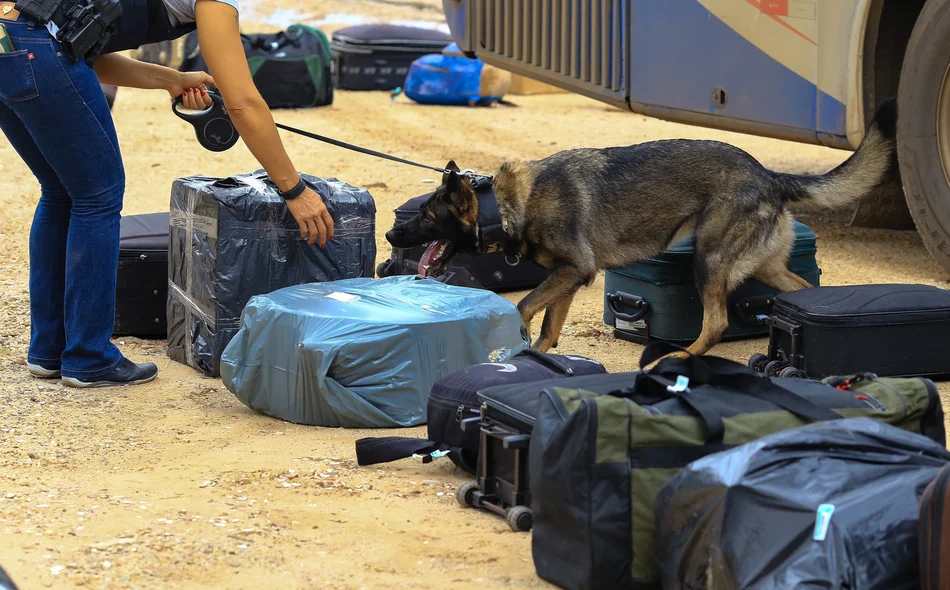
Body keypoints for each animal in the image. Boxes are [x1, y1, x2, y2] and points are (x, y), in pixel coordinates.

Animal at [384, 99, 900, 358]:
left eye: (427, 215)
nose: (390, 236)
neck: (511, 203)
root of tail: (767, 175)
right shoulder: (569, 278)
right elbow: (550, 325)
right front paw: (536, 357)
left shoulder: (573, 272)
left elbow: (527, 305)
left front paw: (520, 338)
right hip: (763, 266)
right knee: (800, 292)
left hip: (708, 259)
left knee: (716, 323)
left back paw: (681, 357)